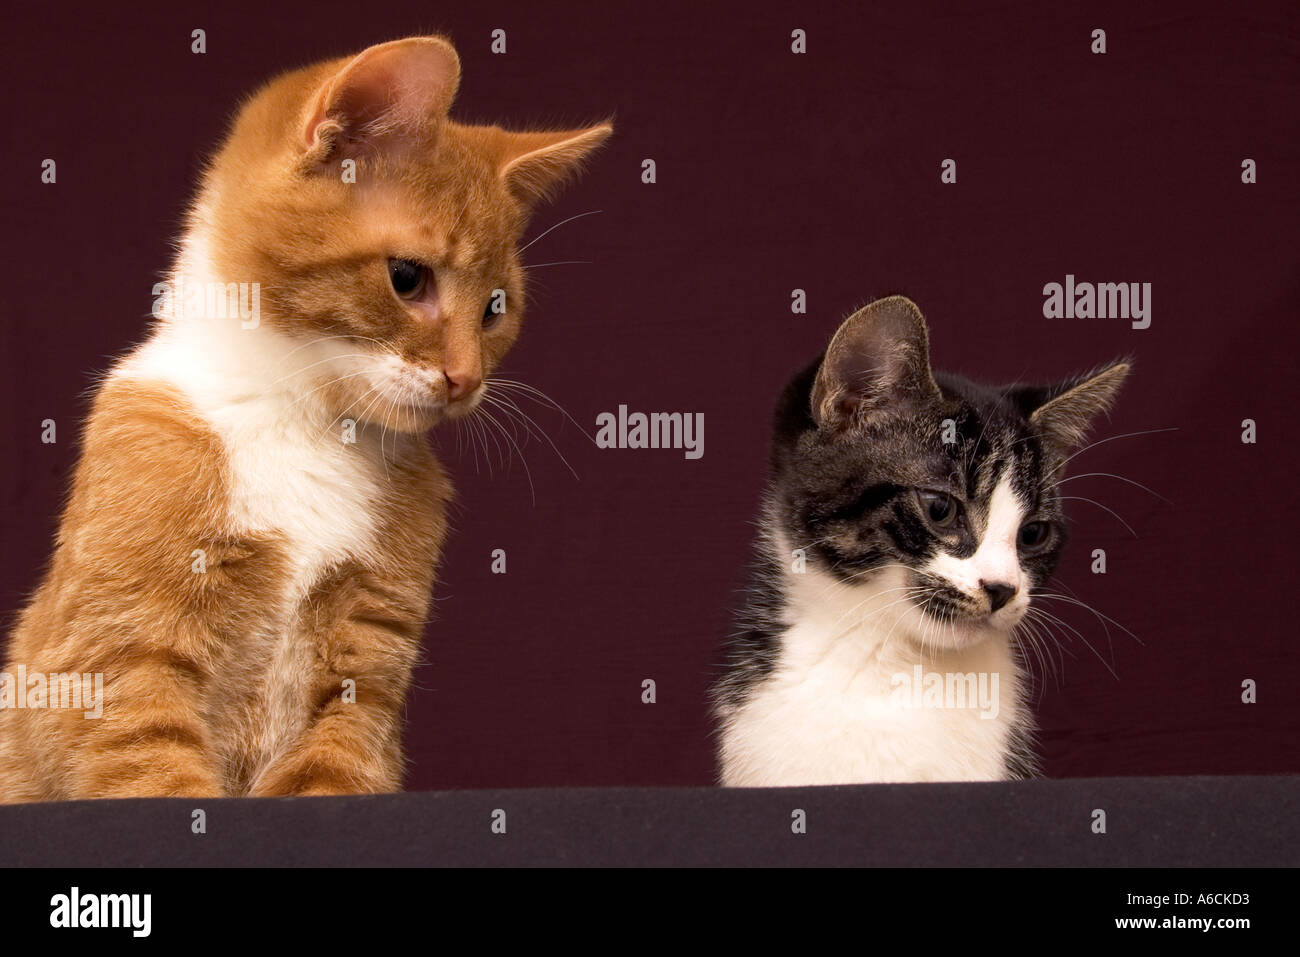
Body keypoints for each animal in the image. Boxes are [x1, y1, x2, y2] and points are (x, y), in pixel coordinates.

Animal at [0, 35, 608, 800]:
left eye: (496, 307)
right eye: (407, 278)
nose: (467, 379)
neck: (304, 425)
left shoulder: (363, 683)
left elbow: (332, 774)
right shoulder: (114, 663)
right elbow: (155, 773)